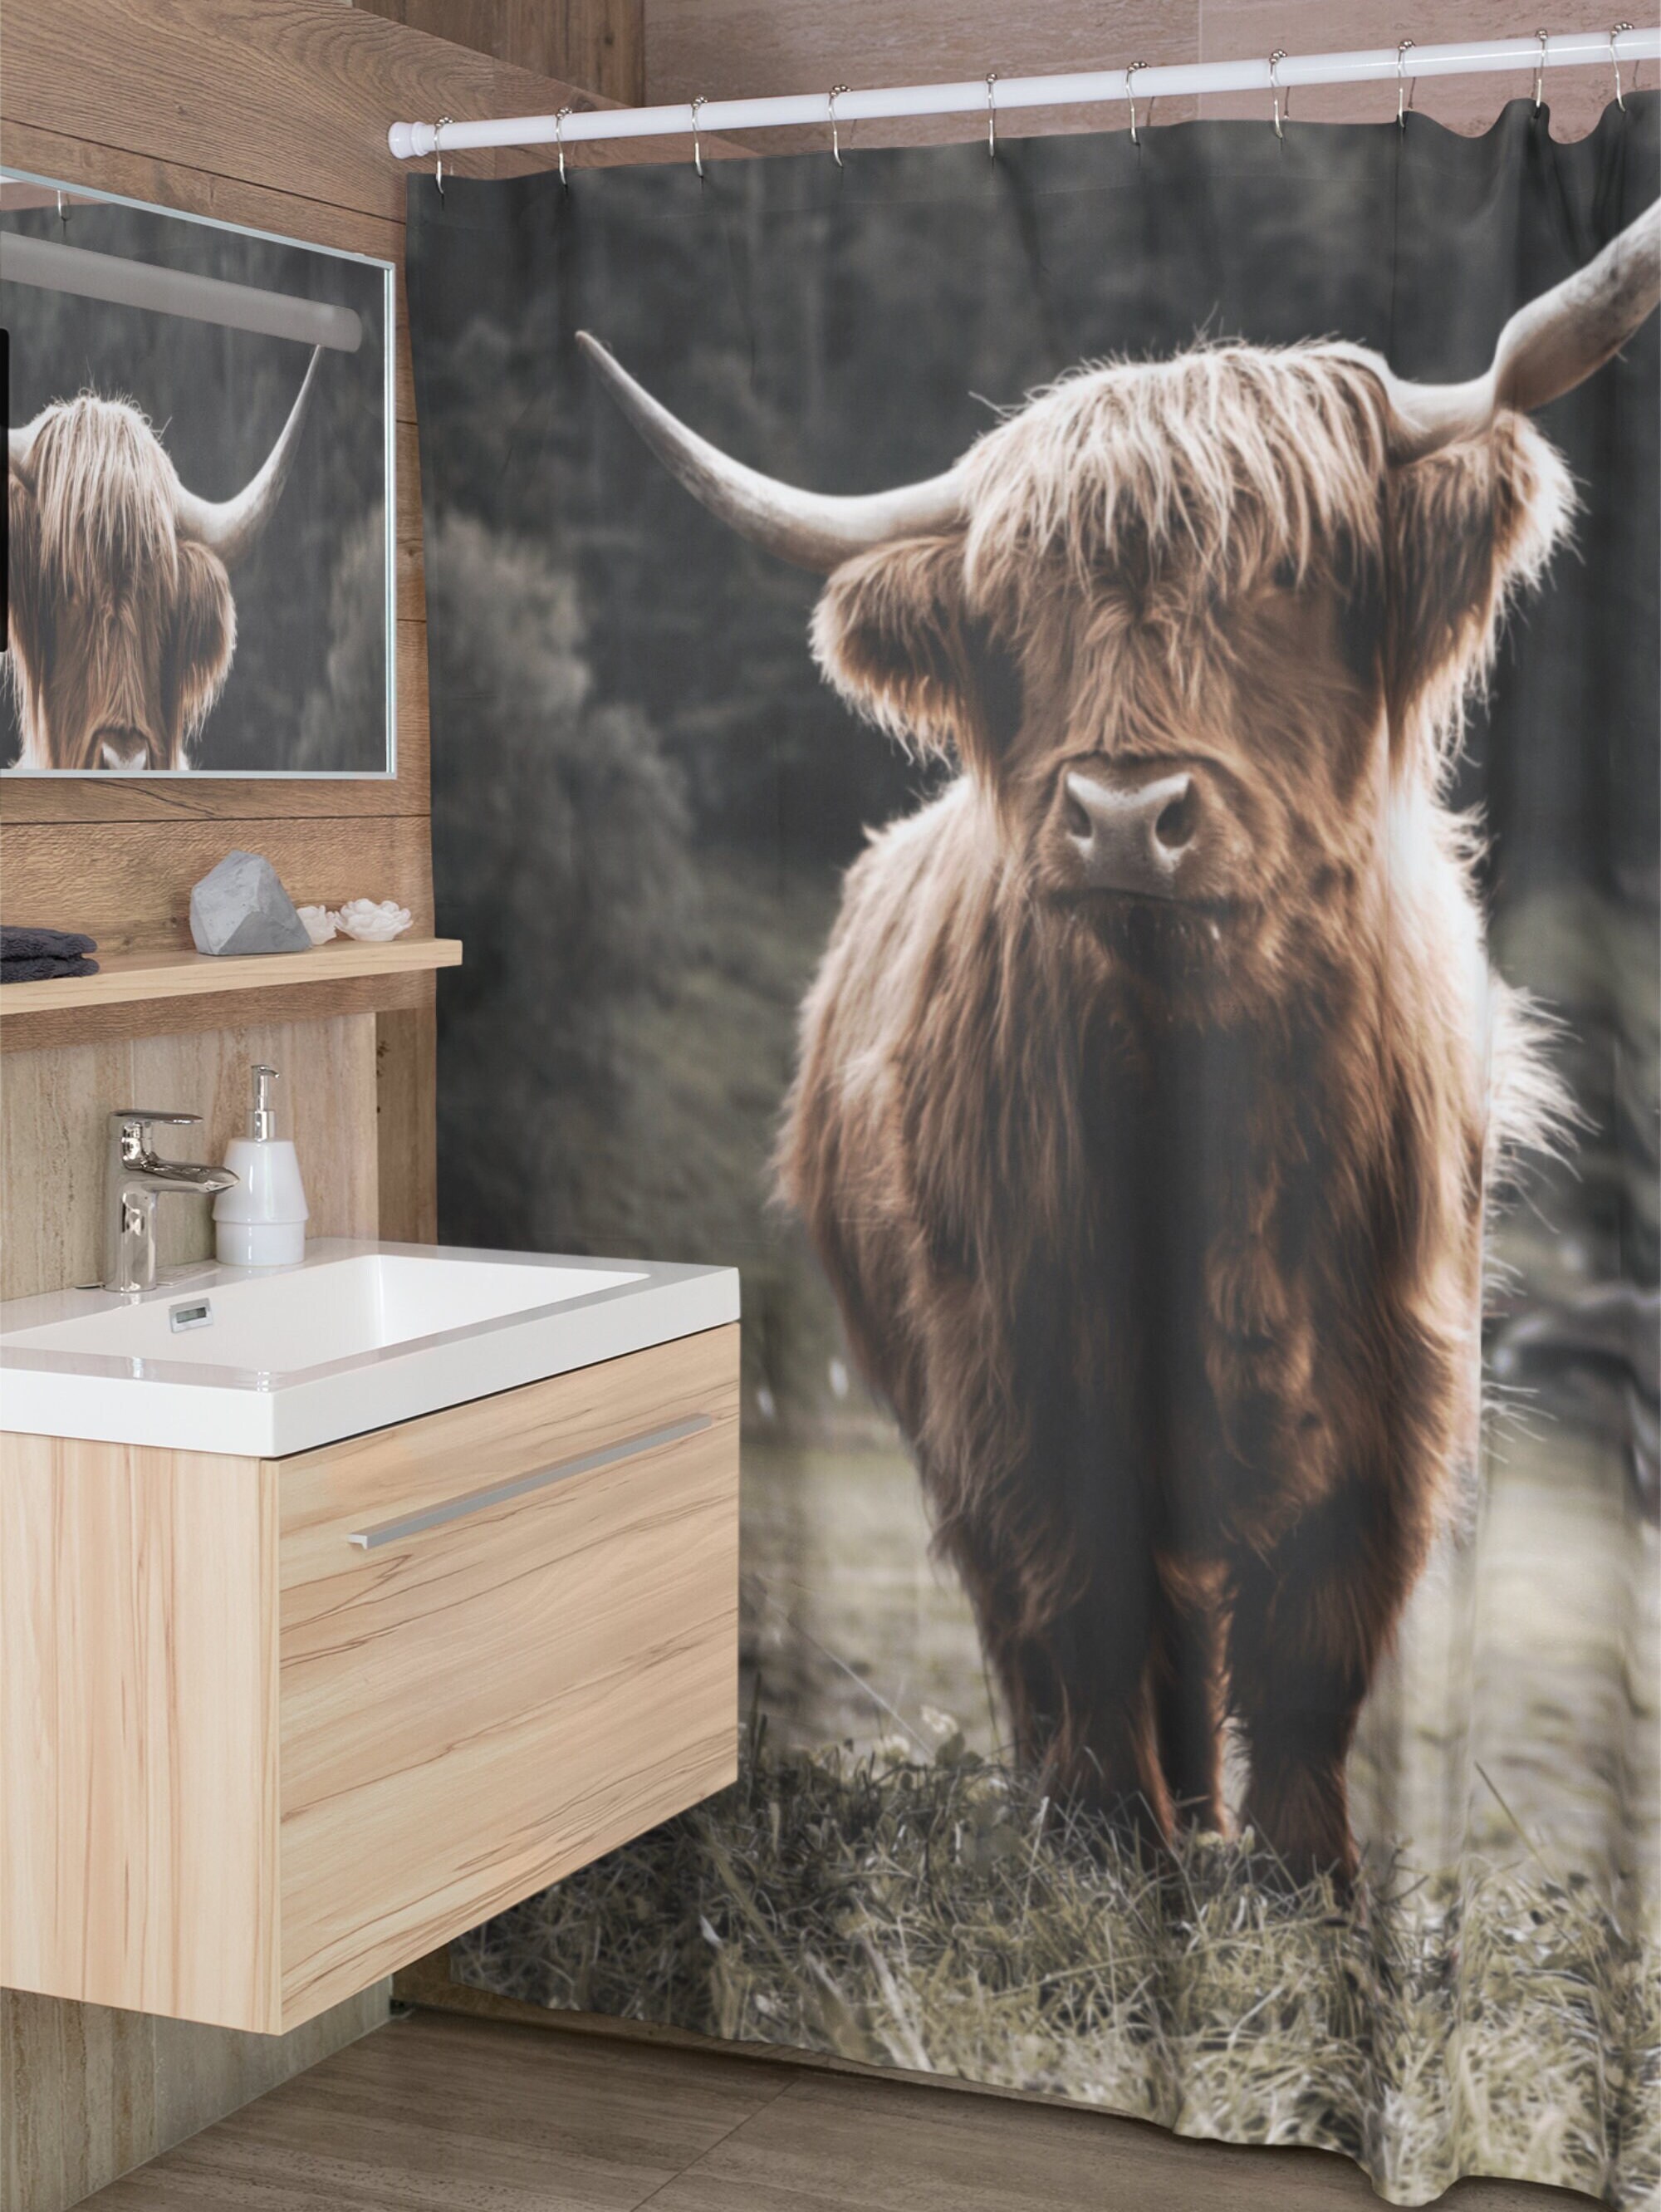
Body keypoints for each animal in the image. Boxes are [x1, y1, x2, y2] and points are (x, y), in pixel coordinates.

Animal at [581, 201, 1661, 1886]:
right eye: (1013, 621)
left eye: (1288, 575)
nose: (1122, 812)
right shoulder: (1022, 1357)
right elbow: (1079, 1604)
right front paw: (1106, 1851)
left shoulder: (1394, 1374)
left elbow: (1312, 1646)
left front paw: (1306, 1885)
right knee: (1058, 1629)